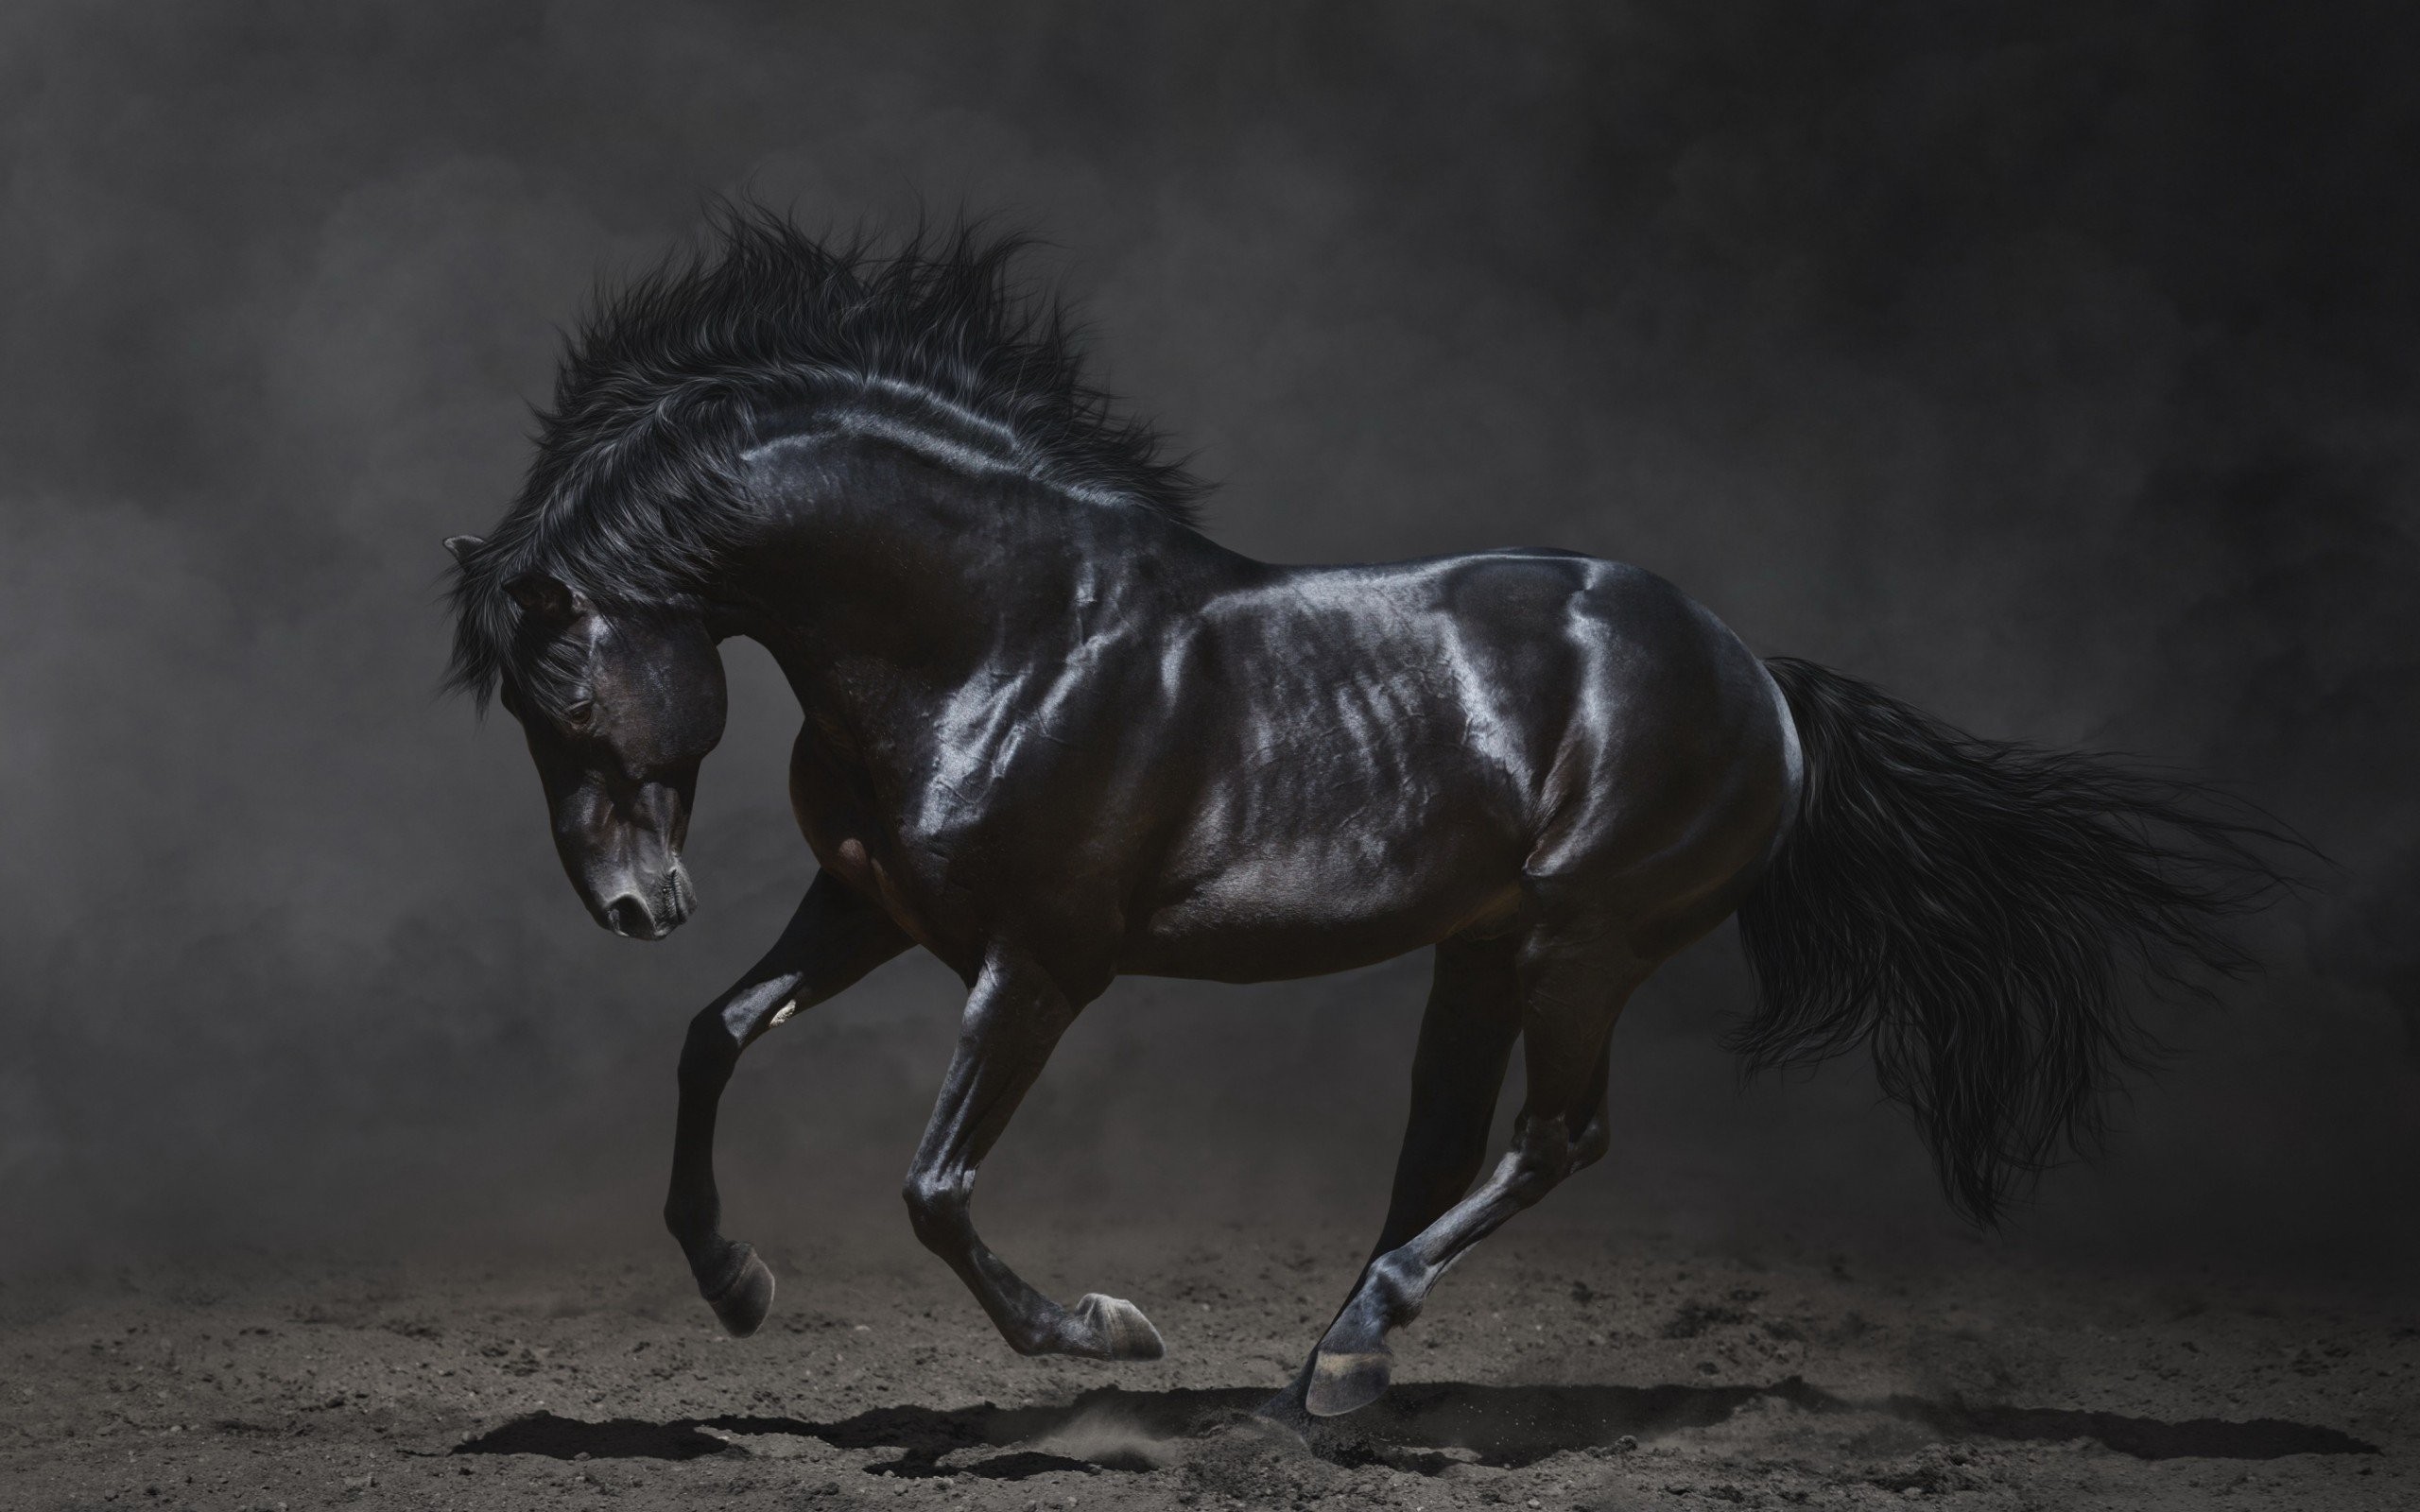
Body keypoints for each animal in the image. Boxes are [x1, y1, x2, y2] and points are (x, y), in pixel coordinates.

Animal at [444, 210, 2292, 1420]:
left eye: (566, 695)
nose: (632, 905)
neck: (1003, 634)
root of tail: (1758, 676)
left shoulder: (1039, 964)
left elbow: (936, 1187)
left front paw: (1105, 1334)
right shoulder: (874, 909)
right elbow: (714, 1037)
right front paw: (735, 1285)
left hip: (1586, 942)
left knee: (1557, 1139)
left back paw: (1347, 1355)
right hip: (1482, 951)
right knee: (1443, 1148)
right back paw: (1332, 1369)